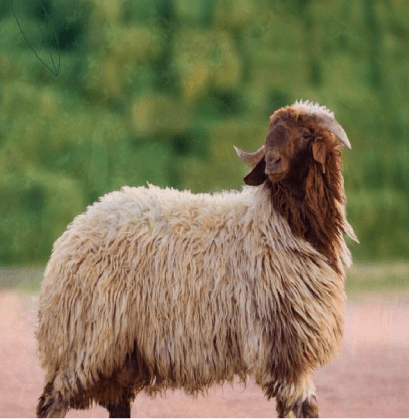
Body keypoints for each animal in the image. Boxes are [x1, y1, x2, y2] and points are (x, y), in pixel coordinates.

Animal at [36, 100, 357, 419]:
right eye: (270, 134)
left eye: (305, 134)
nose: (271, 162)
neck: (279, 223)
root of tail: (73, 233)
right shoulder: (282, 344)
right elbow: (305, 407)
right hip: (86, 341)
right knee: (53, 401)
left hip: (119, 355)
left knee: (117, 406)